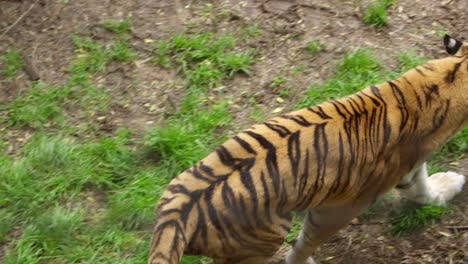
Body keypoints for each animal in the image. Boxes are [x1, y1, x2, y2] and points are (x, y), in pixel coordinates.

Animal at [148, 35, 466, 264]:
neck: (449, 76)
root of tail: (174, 215)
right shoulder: (340, 207)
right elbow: (306, 242)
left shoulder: (409, 167)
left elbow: (423, 187)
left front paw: (449, 185)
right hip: (265, 237)